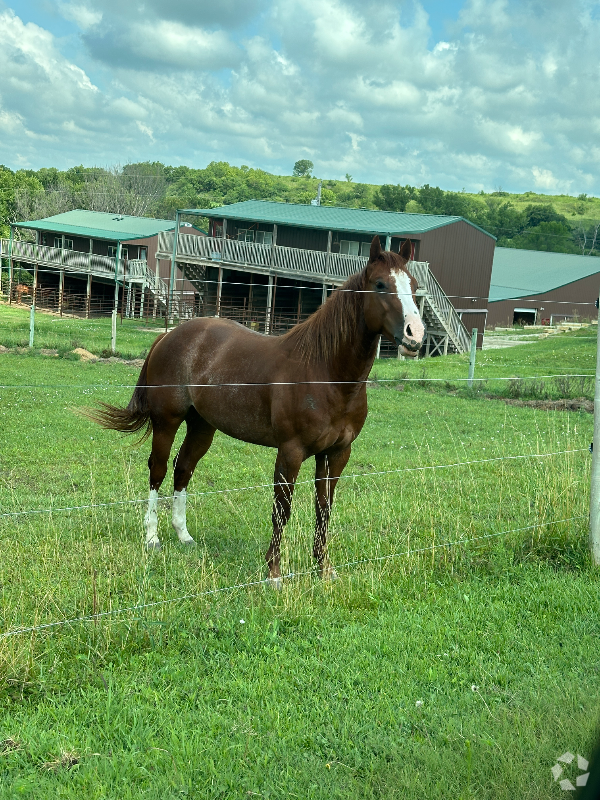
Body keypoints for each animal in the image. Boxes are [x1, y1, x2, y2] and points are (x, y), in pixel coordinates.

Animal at [88, 234, 426, 584]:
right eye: (380, 284)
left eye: (414, 286)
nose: (416, 334)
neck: (325, 372)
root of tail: (169, 336)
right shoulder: (291, 451)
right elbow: (282, 509)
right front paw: (274, 572)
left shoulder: (337, 454)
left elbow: (324, 509)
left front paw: (324, 569)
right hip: (167, 421)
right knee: (159, 469)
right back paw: (152, 537)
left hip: (202, 426)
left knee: (184, 468)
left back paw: (183, 535)